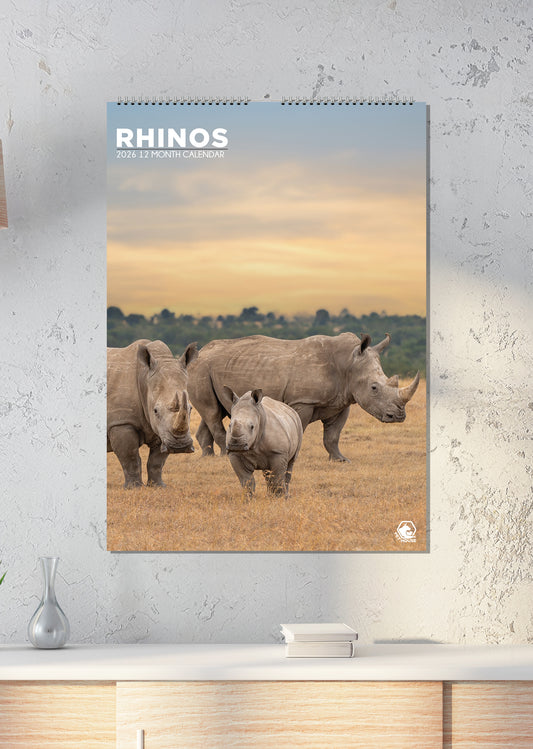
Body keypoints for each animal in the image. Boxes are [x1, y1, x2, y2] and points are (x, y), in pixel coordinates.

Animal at [107, 339, 198, 488]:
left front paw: (158, 486)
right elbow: (130, 456)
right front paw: (134, 488)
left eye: (190, 408)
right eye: (155, 411)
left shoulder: (163, 429)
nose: (180, 446)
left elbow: (157, 461)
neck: (144, 378)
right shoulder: (121, 422)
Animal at [188, 332, 419, 462]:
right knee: (212, 413)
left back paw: (208, 457)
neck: (348, 363)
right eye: (374, 388)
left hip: (215, 369)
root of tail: (198, 354)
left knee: (215, 412)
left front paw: (340, 460)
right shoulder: (303, 401)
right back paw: (224, 456)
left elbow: (333, 436)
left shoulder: (343, 401)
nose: (399, 416)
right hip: (201, 369)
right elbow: (300, 428)